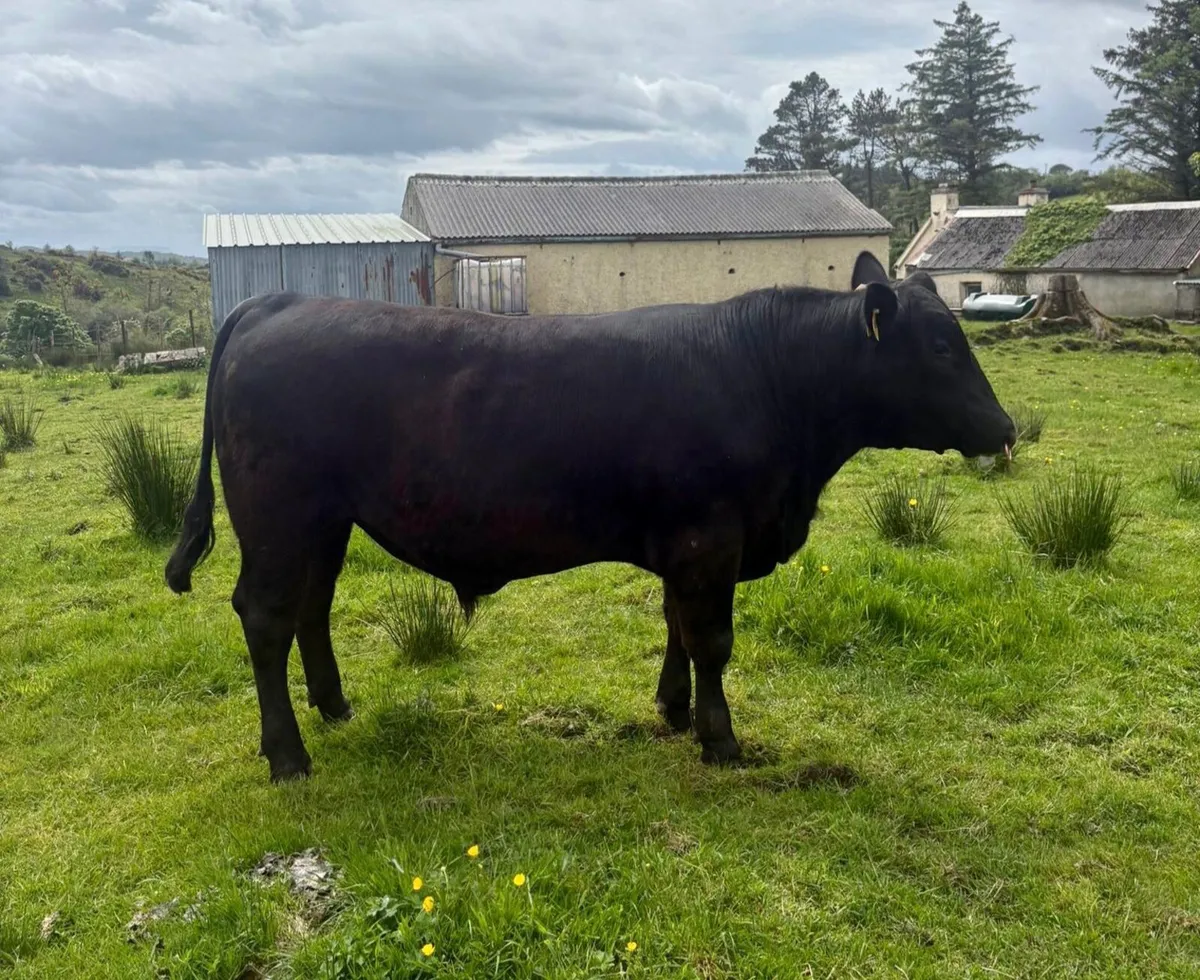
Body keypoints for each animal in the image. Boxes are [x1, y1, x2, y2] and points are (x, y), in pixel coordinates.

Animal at [165, 251, 1015, 783]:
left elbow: (676, 627)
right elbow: (712, 639)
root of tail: (275, 303)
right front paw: (720, 738)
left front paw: (673, 709)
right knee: (265, 617)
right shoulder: (711, 538)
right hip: (279, 518)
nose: (1005, 428)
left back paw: (335, 707)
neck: (768, 378)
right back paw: (288, 756)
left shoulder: (687, 545)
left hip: (325, 522)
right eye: (943, 348)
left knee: (311, 606)